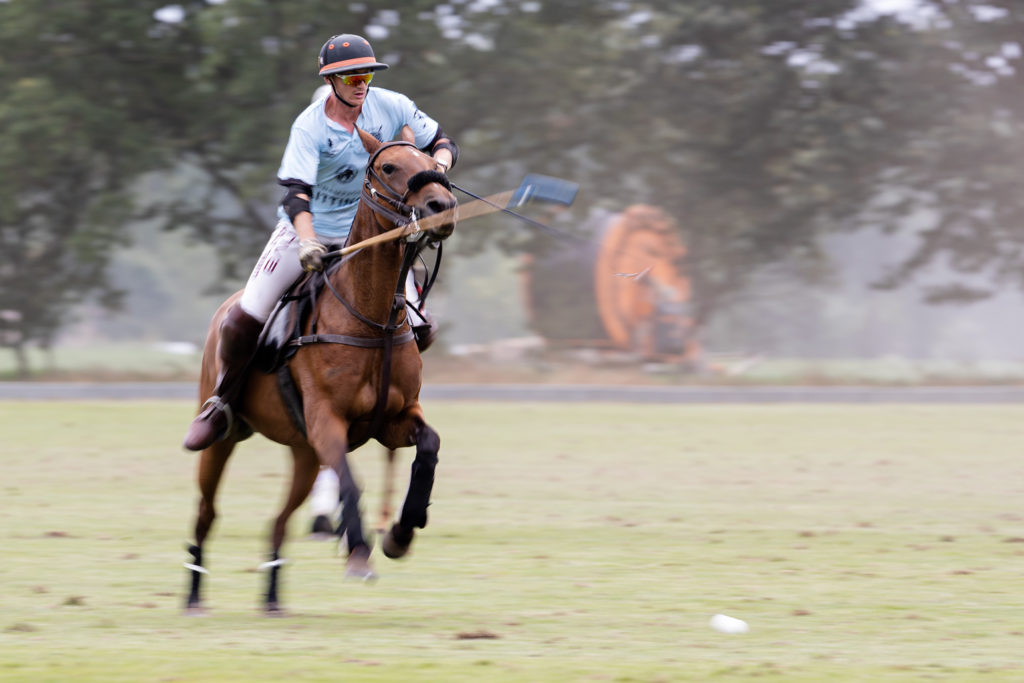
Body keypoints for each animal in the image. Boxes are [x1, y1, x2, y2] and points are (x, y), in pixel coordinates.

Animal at [183, 127, 456, 614]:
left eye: (431, 164)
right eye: (389, 167)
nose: (441, 207)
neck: (372, 319)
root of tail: (224, 308)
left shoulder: (393, 420)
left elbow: (429, 446)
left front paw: (401, 534)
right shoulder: (327, 420)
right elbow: (350, 481)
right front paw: (360, 553)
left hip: (303, 451)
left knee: (279, 519)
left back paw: (273, 596)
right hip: (224, 438)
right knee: (207, 511)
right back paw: (194, 592)